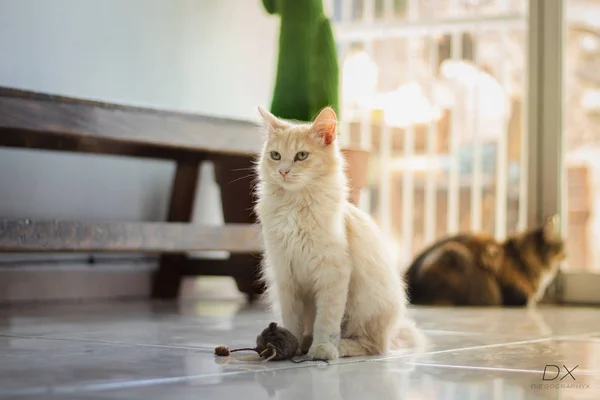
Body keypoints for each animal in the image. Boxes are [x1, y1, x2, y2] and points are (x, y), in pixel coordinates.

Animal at [255, 105, 420, 360]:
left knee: (372, 345)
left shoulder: (333, 273)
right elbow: (292, 319)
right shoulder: (285, 275)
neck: (295, 205)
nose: (283, 171)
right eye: (275, 155)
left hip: (364, 306)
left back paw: (335, 346)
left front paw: (322, 348)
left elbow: (326, 320)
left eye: (301, 156)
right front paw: (289, 343)